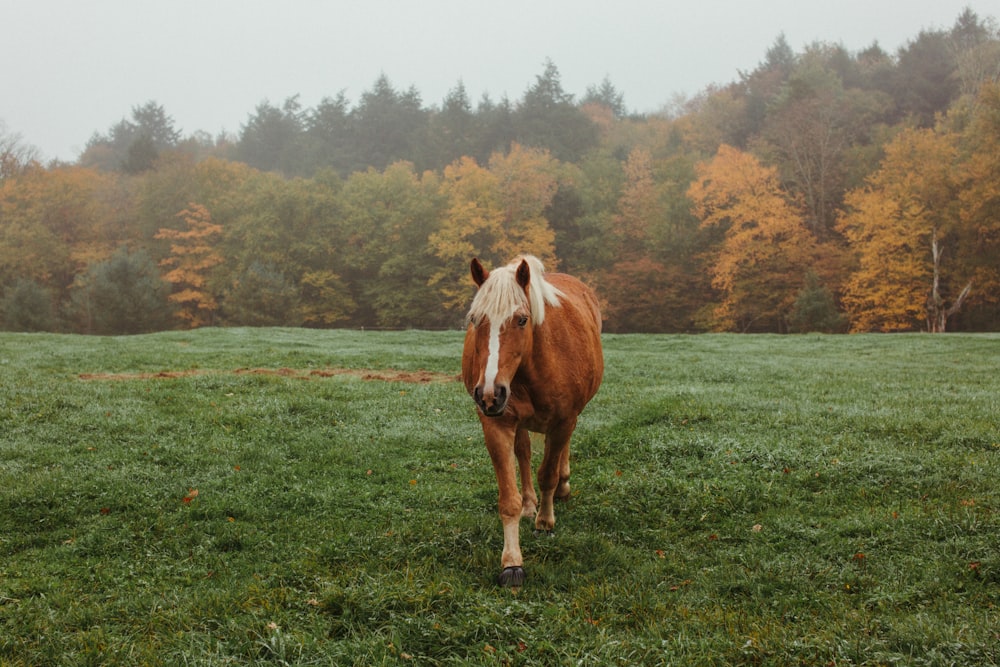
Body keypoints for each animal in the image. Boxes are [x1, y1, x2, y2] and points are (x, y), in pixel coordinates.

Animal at [460, 256, 600, 584]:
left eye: (522, 319)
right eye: (475, 319)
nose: (489, 393)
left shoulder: (563, 420)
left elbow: (547, 473)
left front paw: (545, 523)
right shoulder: (496, 424)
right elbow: (507, 499)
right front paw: (512, 562)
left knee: (560, 453)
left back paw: (562, 488)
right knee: (523, 454)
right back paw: (529, 504)